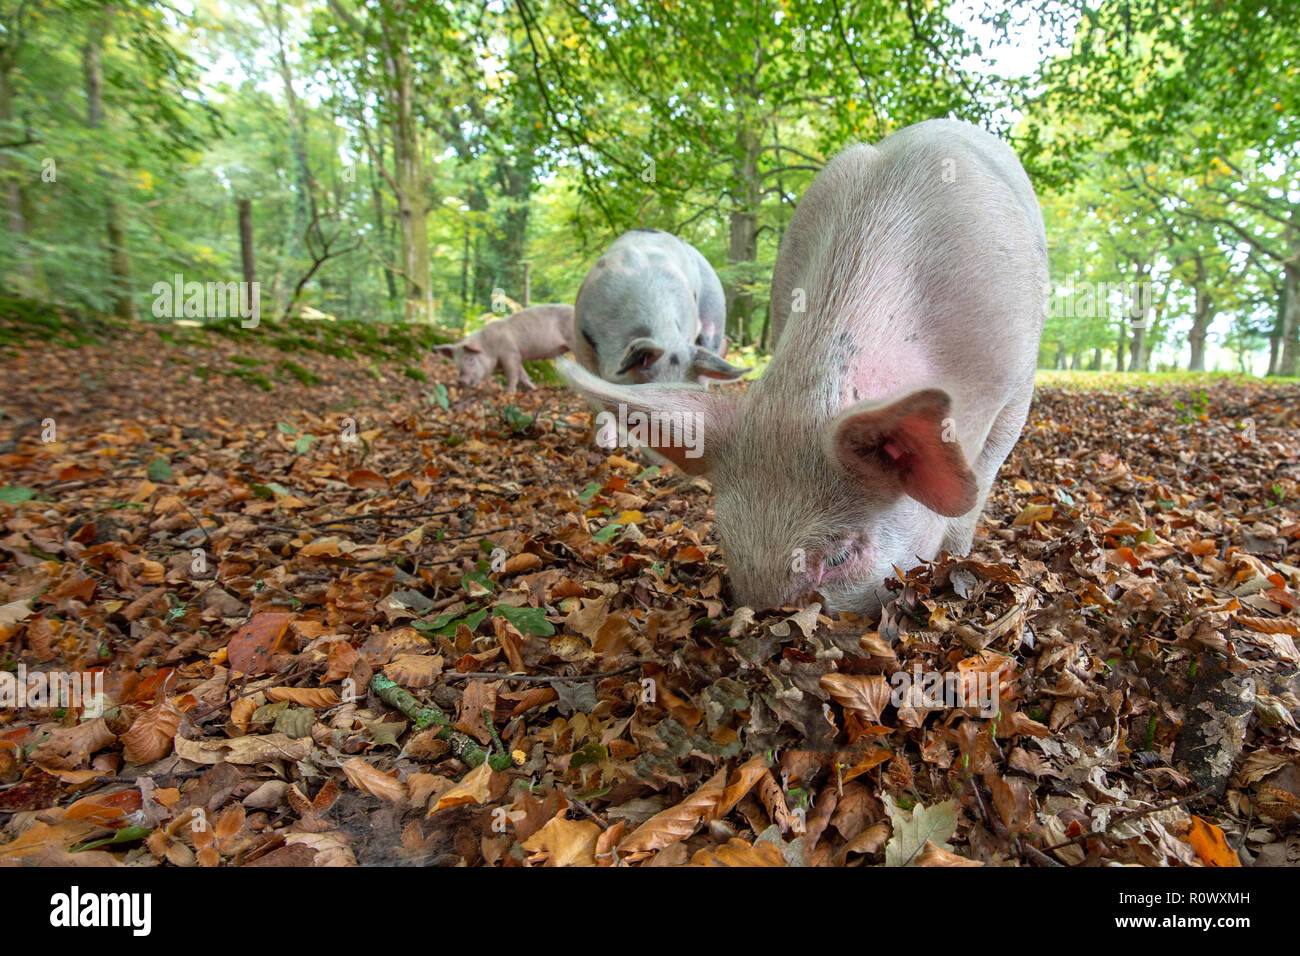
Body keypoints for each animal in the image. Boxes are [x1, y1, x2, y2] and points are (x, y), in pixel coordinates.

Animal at [431, 304, 574, 390]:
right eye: (456, 363)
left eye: (470, 359)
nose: (461, 381)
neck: (489, 347)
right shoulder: (517, 356)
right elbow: (522, 372)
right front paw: (532, 388)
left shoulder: (510, 353)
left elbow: (512, 373)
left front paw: (509, 391)